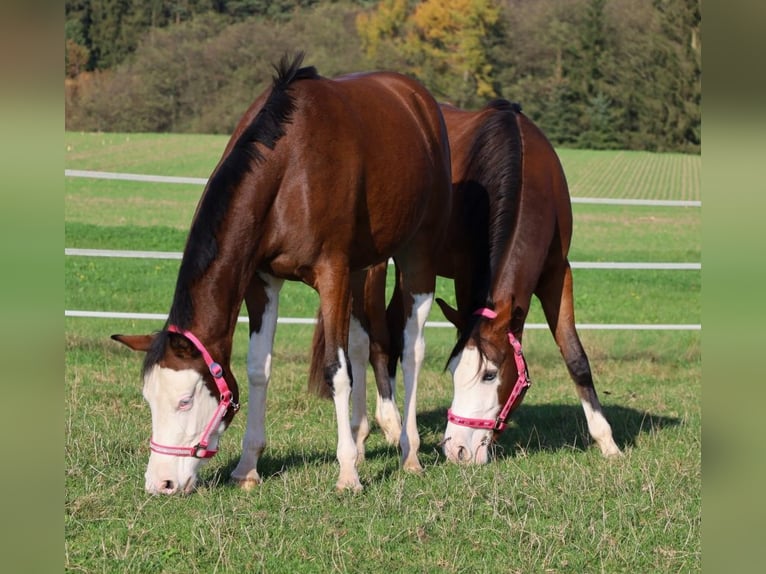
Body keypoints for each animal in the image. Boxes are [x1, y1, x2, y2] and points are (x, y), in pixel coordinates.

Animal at [111, 55, 452, 496]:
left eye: (185, 400)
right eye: (149, 399)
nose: (161, 483)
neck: (290, 166)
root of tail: (417, 98)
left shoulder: (332, 275)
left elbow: (337, 372)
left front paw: (347, 474)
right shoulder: (262, 282)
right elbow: (260, 368)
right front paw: (247, 467)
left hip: (416, 256)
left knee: (411, 350)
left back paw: (408, 452)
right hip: (364, 267)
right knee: (363, 345)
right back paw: (362, 441)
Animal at [318, 98, 624, 468]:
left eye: (490, 374)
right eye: (453, 371)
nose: (457, 450)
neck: (525, 168)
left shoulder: (557, 274)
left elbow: (575, 356)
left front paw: (607, 442)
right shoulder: (467, 276)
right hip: (377, 263)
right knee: (374, 337)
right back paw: (382, 426)